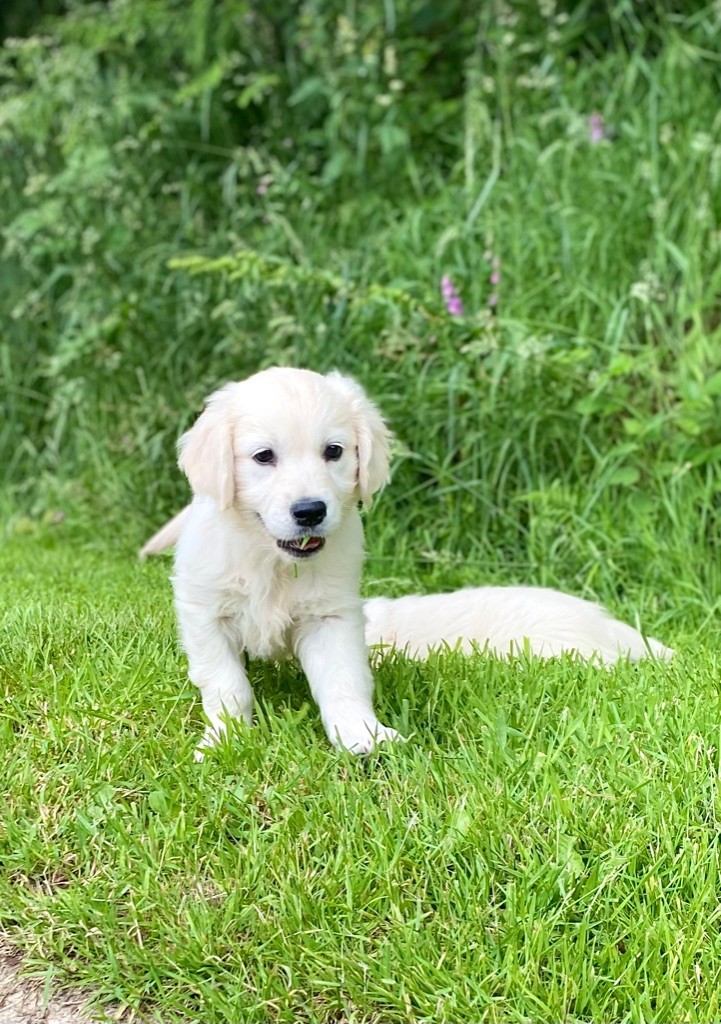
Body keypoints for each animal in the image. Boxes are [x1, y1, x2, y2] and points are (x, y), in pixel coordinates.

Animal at [153, 364, 399, 757]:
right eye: (264, 456)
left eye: (334, 451)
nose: (310, 511)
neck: (270, 557)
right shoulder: (207, 613)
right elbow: (226, 684)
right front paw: (225, 740)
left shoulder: (331, 615)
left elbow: (343, 679)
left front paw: (362, 734)